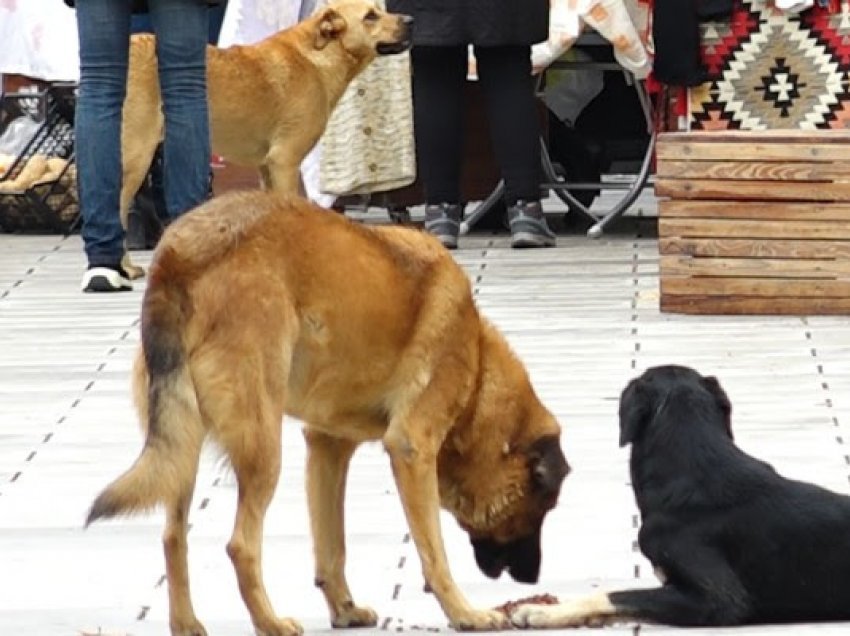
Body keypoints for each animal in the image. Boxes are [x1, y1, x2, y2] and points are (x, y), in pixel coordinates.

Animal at [86, 193, 568, 636]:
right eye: (542, 507)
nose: (533, 580)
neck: (477, 367)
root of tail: (177, 256)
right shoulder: (411, 449)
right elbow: (434, 554)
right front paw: (464, 612)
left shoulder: (326, 447)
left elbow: (331, 545)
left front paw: (343, 609)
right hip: (262, 447)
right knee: (241, 545)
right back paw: (270, 622)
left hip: (180, 446)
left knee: (173, 535)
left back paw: (186, 624)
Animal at [118, 0, 410, 278]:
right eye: (370, 16)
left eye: (379, 10)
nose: (410, 20)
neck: (319, 56)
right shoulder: (285, 162)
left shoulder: (267, 167)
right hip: (136, 155)